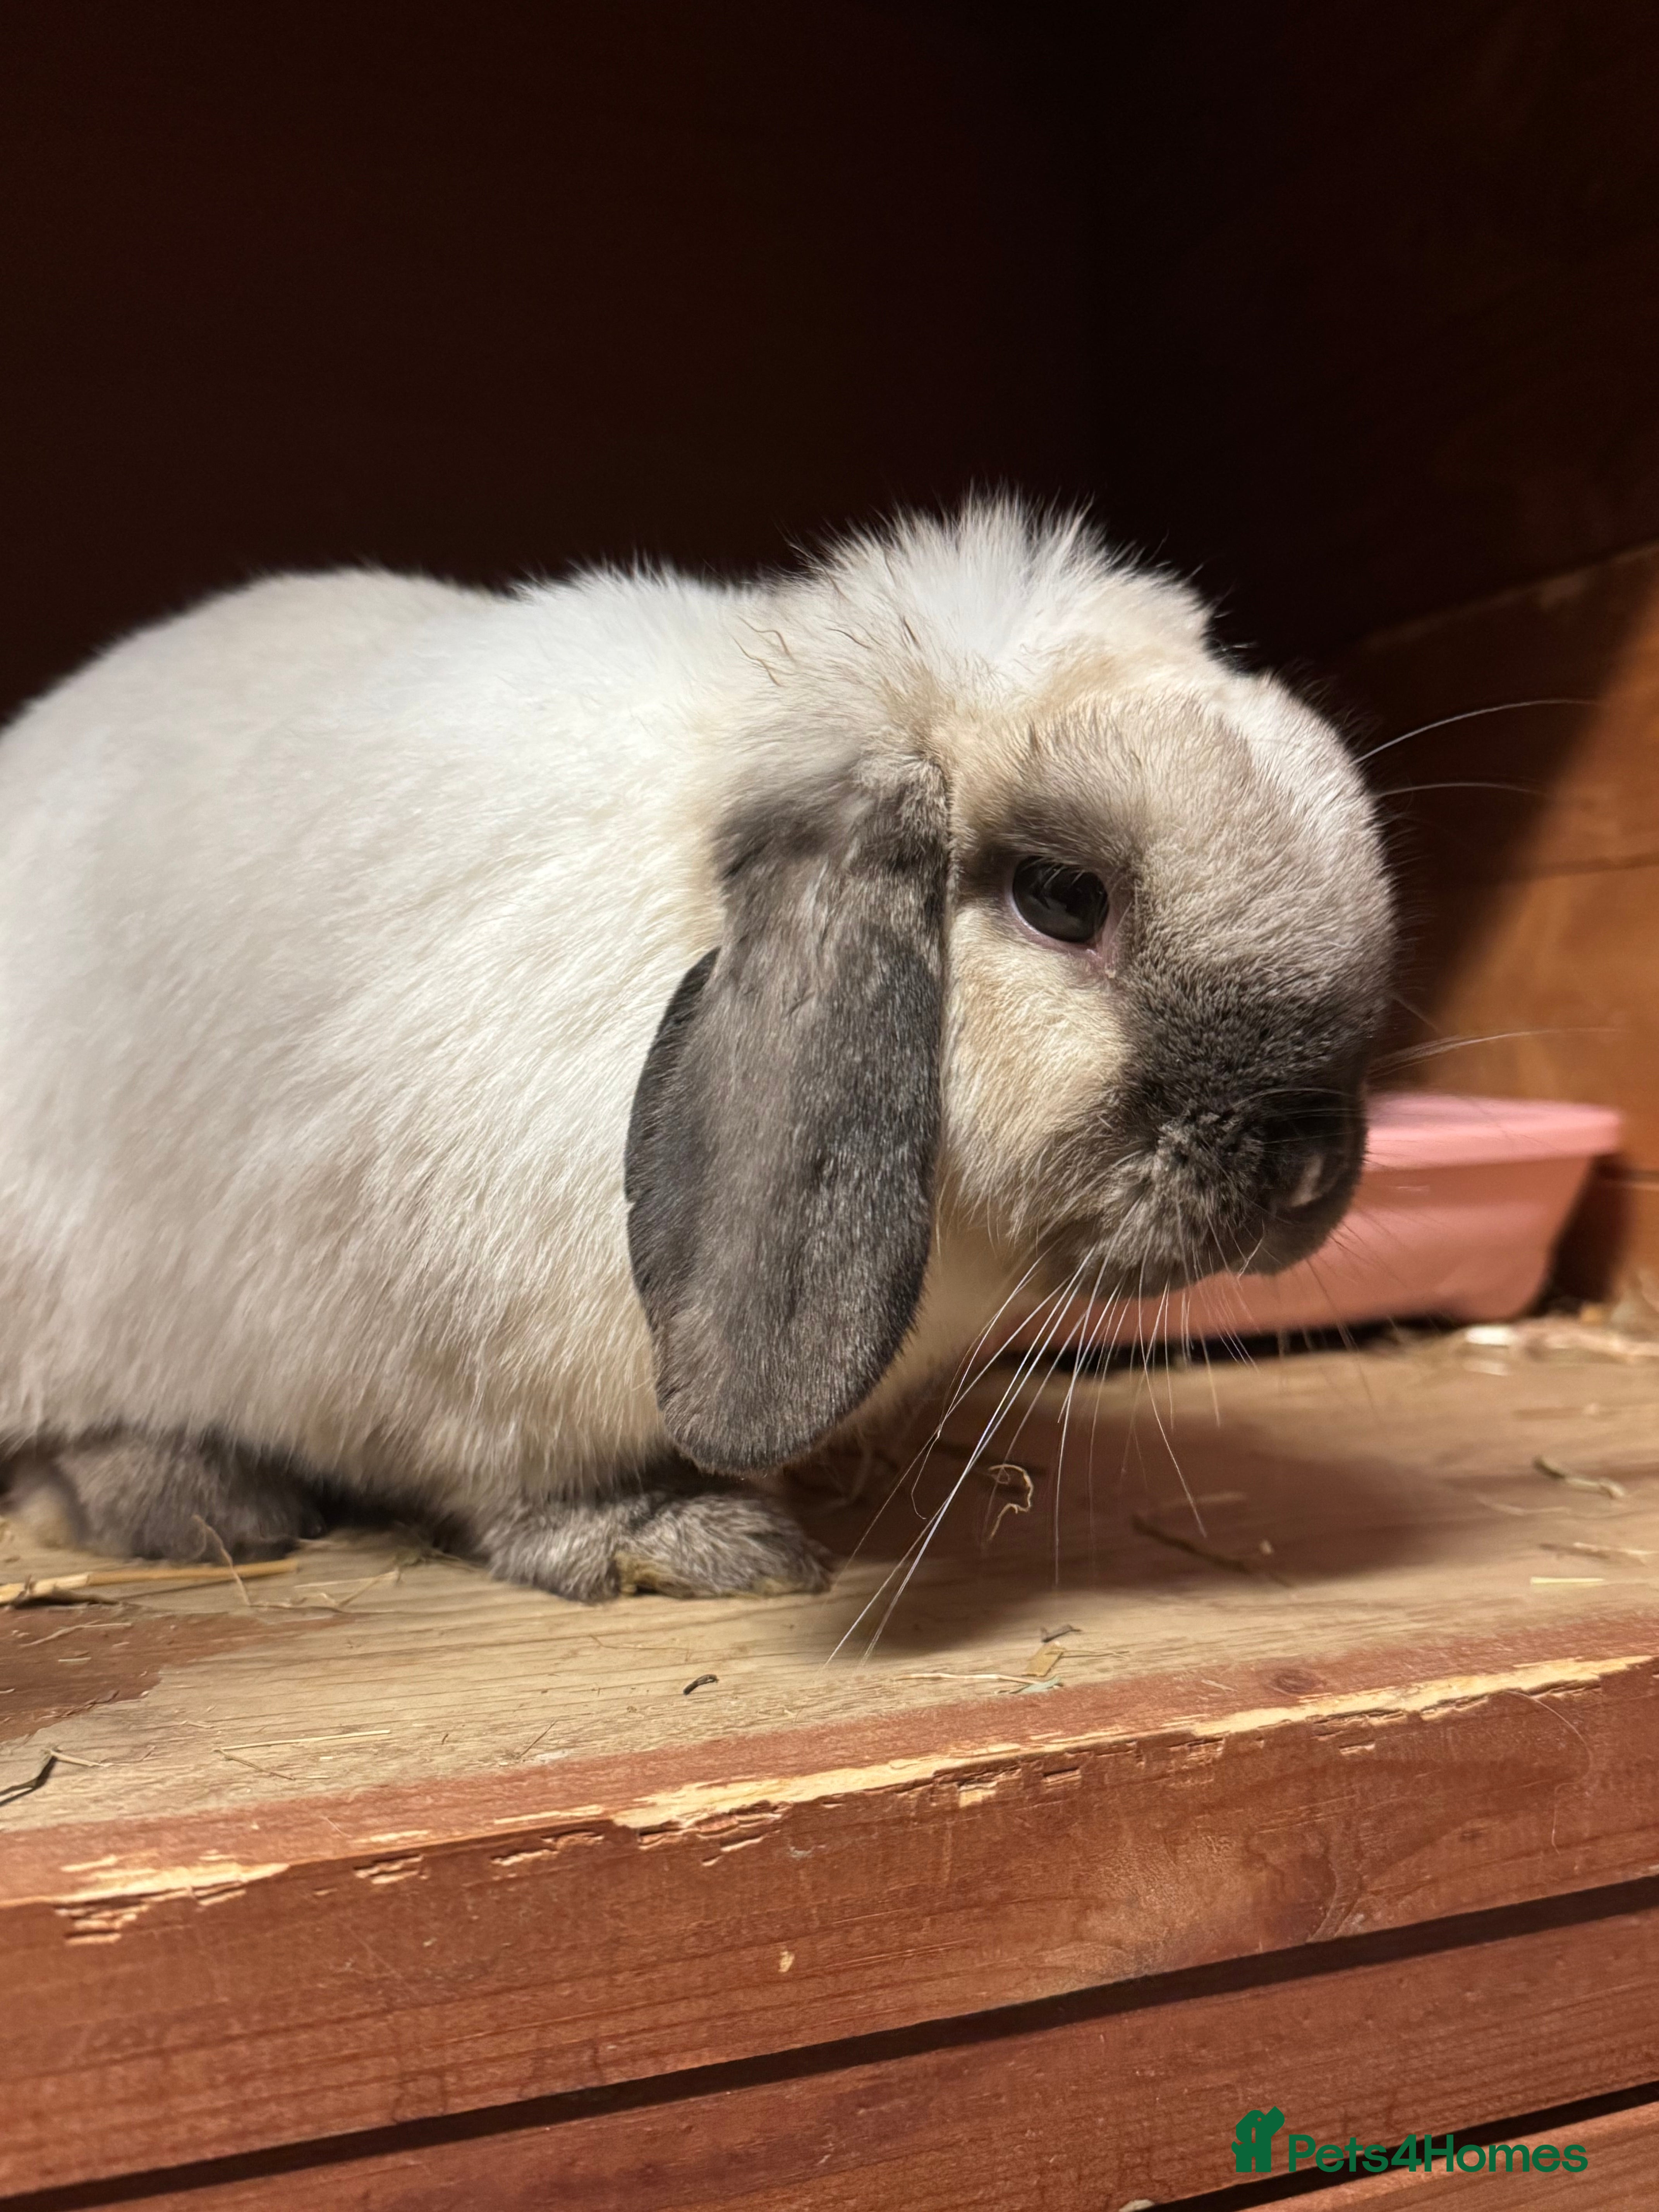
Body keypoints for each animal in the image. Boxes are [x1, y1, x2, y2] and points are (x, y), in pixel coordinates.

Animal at [0, 502, 1392, 1600]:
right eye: (1061, 897)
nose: (1307, 1172)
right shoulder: (479, 1379)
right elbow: (529, 1496)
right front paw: (688, 1544)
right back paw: (201, 1507)